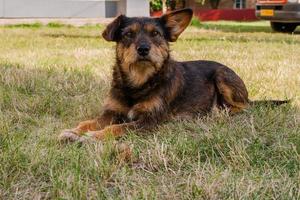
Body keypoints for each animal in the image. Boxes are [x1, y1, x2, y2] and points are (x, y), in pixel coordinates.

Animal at [59, 8, 288, 141]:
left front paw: (92, 136)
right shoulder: (111, 113)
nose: (143, 49)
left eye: (156, 34)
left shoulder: (149, 121)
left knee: (243, 107)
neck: (139, 83)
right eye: (128, 34)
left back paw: (218, 113)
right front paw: (74, 131)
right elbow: (88, 122)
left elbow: (115, 129)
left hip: (223, 76)